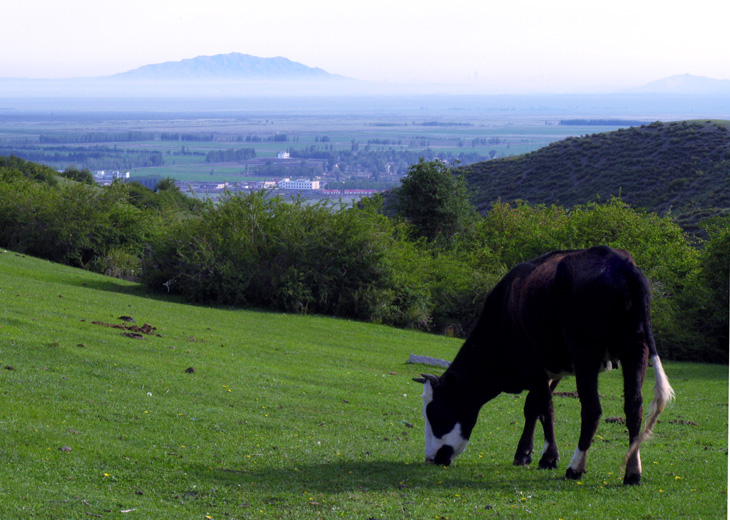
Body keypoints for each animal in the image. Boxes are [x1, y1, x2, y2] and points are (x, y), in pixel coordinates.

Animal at [412, 246, 672, 486]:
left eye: (435, 412)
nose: (431, 458)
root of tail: (619, 262)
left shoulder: (534, 365)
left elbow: (546, 408)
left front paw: (549, 458)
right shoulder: (551, 370)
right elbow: (533, 406)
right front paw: (523, 453)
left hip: (586, 353)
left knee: (592, 409)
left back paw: (575, 468)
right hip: (635, 348)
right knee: (634, 406)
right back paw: (632, 472)